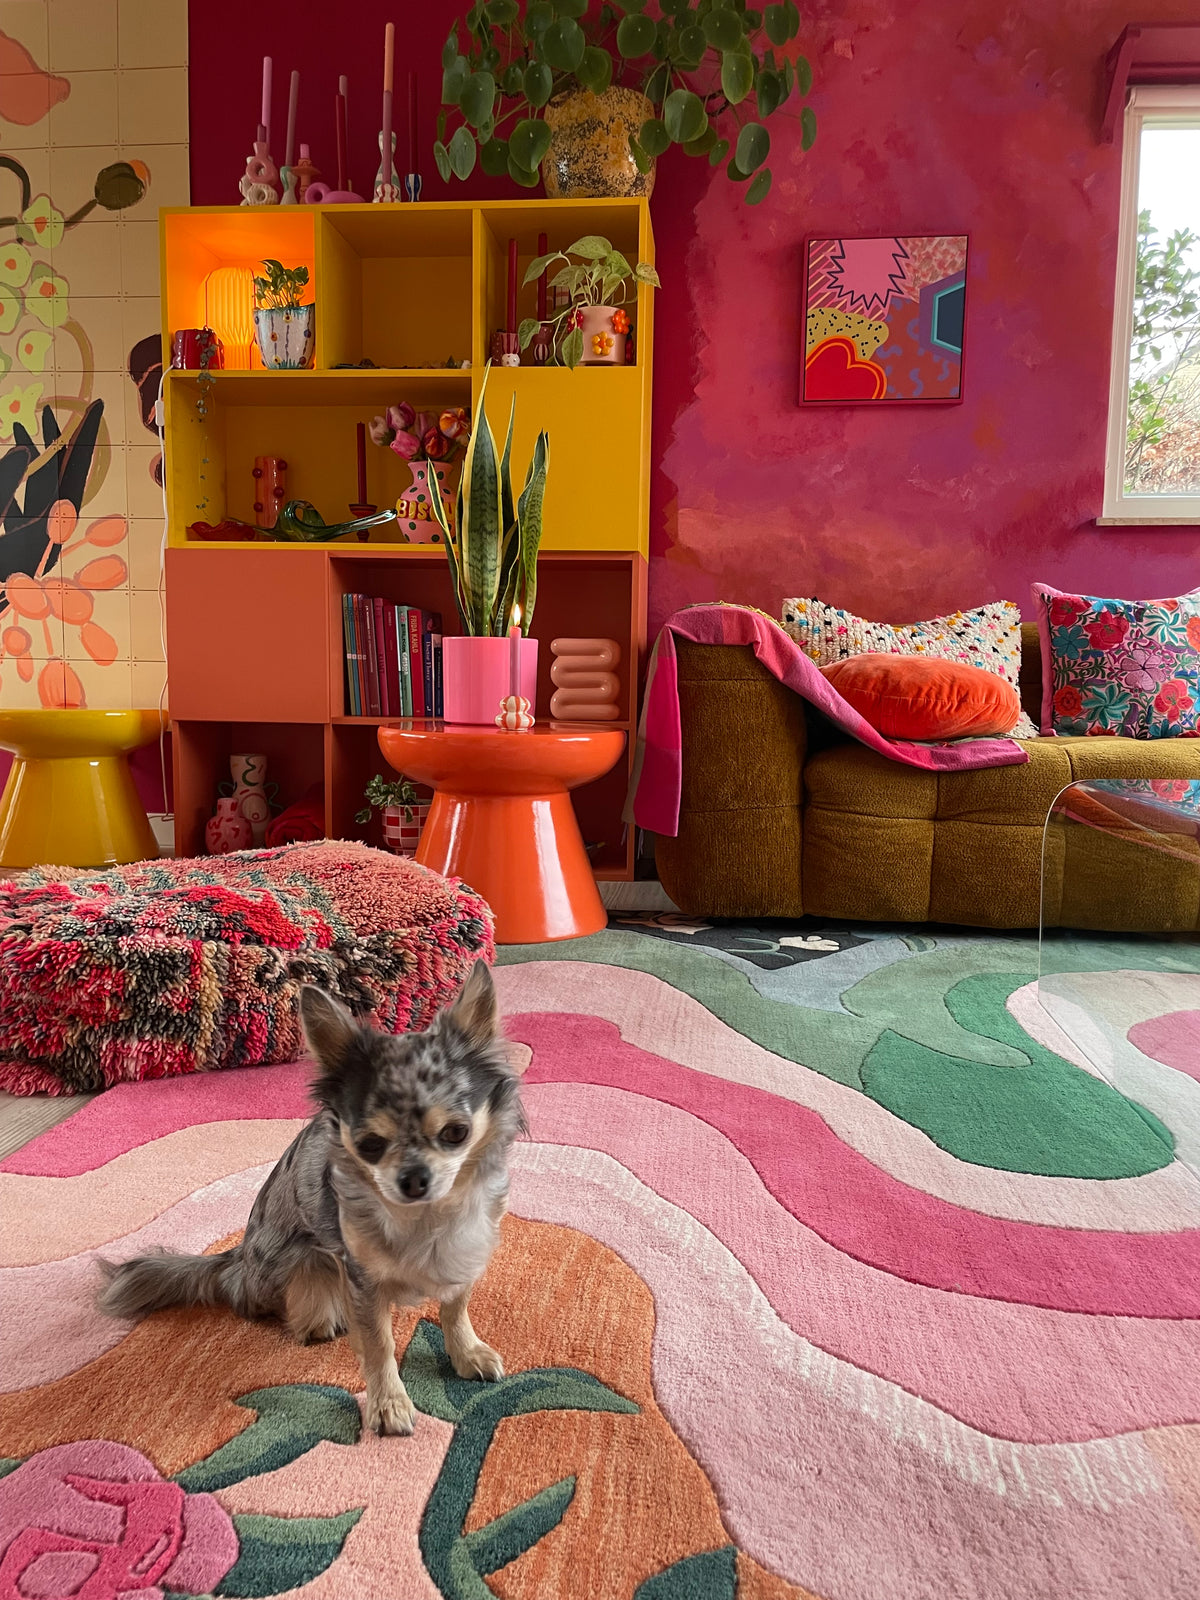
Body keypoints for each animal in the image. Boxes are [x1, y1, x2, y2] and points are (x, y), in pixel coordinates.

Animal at [96, 960, 524, 1436]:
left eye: (456, 1133)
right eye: (370, 1144)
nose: (414, 1178)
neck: (427, 1218)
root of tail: (237, 1262)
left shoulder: (465, 1248)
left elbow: (455, 1307)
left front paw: (466, 1353)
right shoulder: (361, 1278)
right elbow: (379, 1344)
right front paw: (388, 1404)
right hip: (305, 1263)